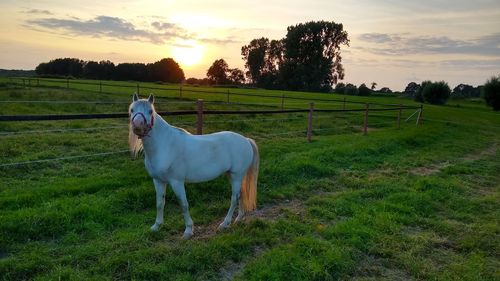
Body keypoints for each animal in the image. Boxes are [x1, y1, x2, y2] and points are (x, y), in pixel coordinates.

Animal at [129, 94, 260, 238]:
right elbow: (159, 203)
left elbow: (183, 204)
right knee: (241, 194)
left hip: (237, 175)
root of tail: (246, 140)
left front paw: (188, 230)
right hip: (232, 175)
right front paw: (156, 226)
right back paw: (239, 218)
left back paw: (224, 224)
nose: (137, 126)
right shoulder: (158, 181)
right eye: (132, 110)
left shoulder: (177, 182)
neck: (164, 144)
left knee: (234, 198)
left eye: (150, 111)